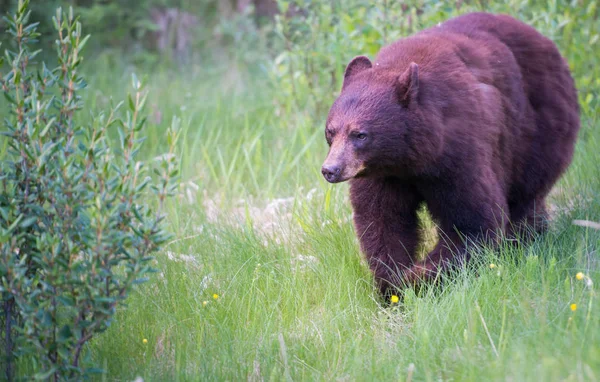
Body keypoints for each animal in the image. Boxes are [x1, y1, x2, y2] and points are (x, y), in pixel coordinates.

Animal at [324, 11, 580, 296]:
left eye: (360, 134)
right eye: (331, 131)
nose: (331, 169)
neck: (411, 157)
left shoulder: (458, 154)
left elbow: (473, 220)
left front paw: (418, 278)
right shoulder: (381, 174)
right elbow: (382, 220)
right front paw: (392, 284)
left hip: (537, 133)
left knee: (526, 195)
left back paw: (524, 241)